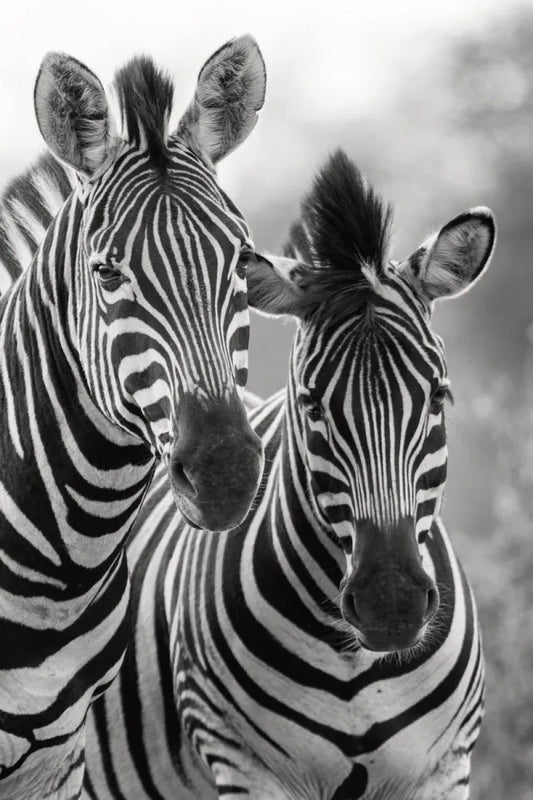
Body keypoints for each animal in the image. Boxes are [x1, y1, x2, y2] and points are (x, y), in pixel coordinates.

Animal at [81, 150, 496, 800]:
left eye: (438, 397)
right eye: (312, 406)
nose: (392, 603)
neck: (358, 669)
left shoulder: (445, 768)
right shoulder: (244, 763)